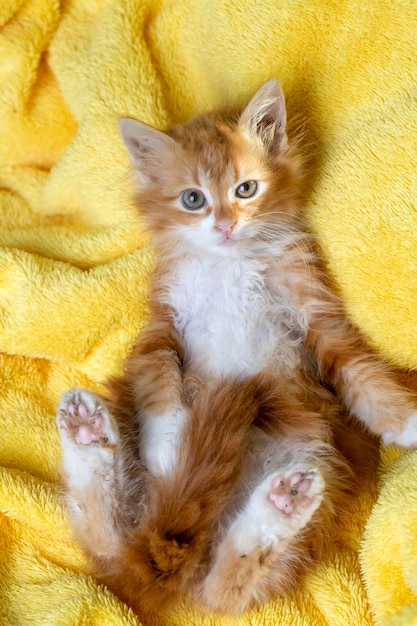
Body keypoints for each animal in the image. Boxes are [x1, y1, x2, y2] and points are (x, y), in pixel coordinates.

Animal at [55, 79, 416, 616]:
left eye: (245, 189)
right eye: (192, 199)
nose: (225, 225)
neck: (232, 263)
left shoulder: (316, 314)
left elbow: (362, 371)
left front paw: (407, 421)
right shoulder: (159, 327)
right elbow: (160, 382)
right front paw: (169, 448)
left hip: (316, 454)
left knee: (224, 586)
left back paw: (280, 506)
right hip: (128, 421)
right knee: (111, 542)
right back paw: (88, 433)